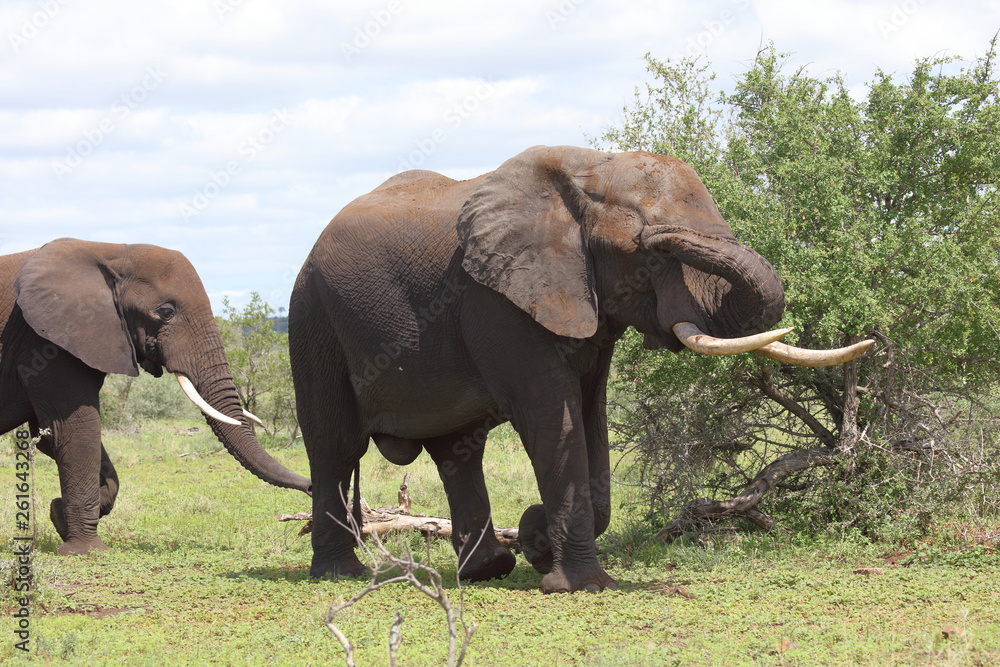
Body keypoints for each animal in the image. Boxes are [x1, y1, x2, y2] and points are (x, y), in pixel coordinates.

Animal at [0, 238, 311, 555]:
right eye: (166, 312)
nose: (311, 487)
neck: (110, 250)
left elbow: (51, 437)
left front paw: (59, 515)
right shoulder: (46, 344)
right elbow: (75, 430)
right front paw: (85, 551)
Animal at [289, 145, 872, 593]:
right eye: (646, 252)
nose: (659, 233)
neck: (590, 169)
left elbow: (591, 416)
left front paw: (538, 541)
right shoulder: (493, 298)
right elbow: (553, 414)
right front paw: (578, 584)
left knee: (459, 451)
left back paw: (486, 571)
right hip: (312, 317)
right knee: (336, 445)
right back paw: (341, 574)